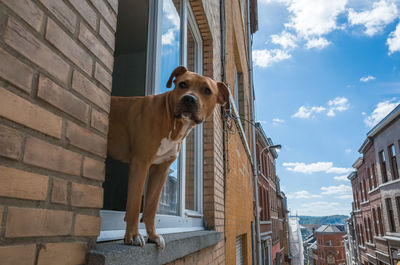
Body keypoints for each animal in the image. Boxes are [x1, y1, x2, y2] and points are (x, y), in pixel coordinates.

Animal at [108, 65, 230, 248]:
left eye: (207, 90)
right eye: (182, 84)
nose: (189, 99)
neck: (173, 123)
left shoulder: (161, 170)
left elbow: (151, 206)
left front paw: (153, 236)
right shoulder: (140, 163)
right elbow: (135, 204)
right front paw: (133, 235)